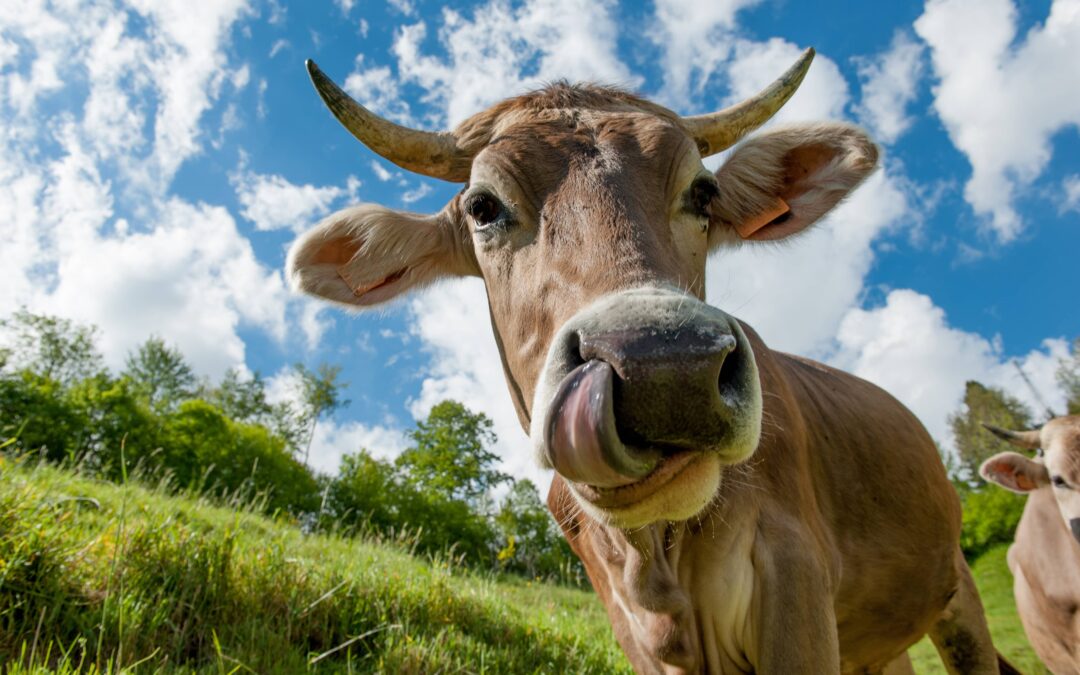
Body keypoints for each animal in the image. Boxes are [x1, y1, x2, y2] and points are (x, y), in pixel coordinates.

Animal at [287, 49, 1010, 669]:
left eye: (703, 194)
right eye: (482, 206)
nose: (666, 368)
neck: (652, 560)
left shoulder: (796, 584)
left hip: (958, 596)